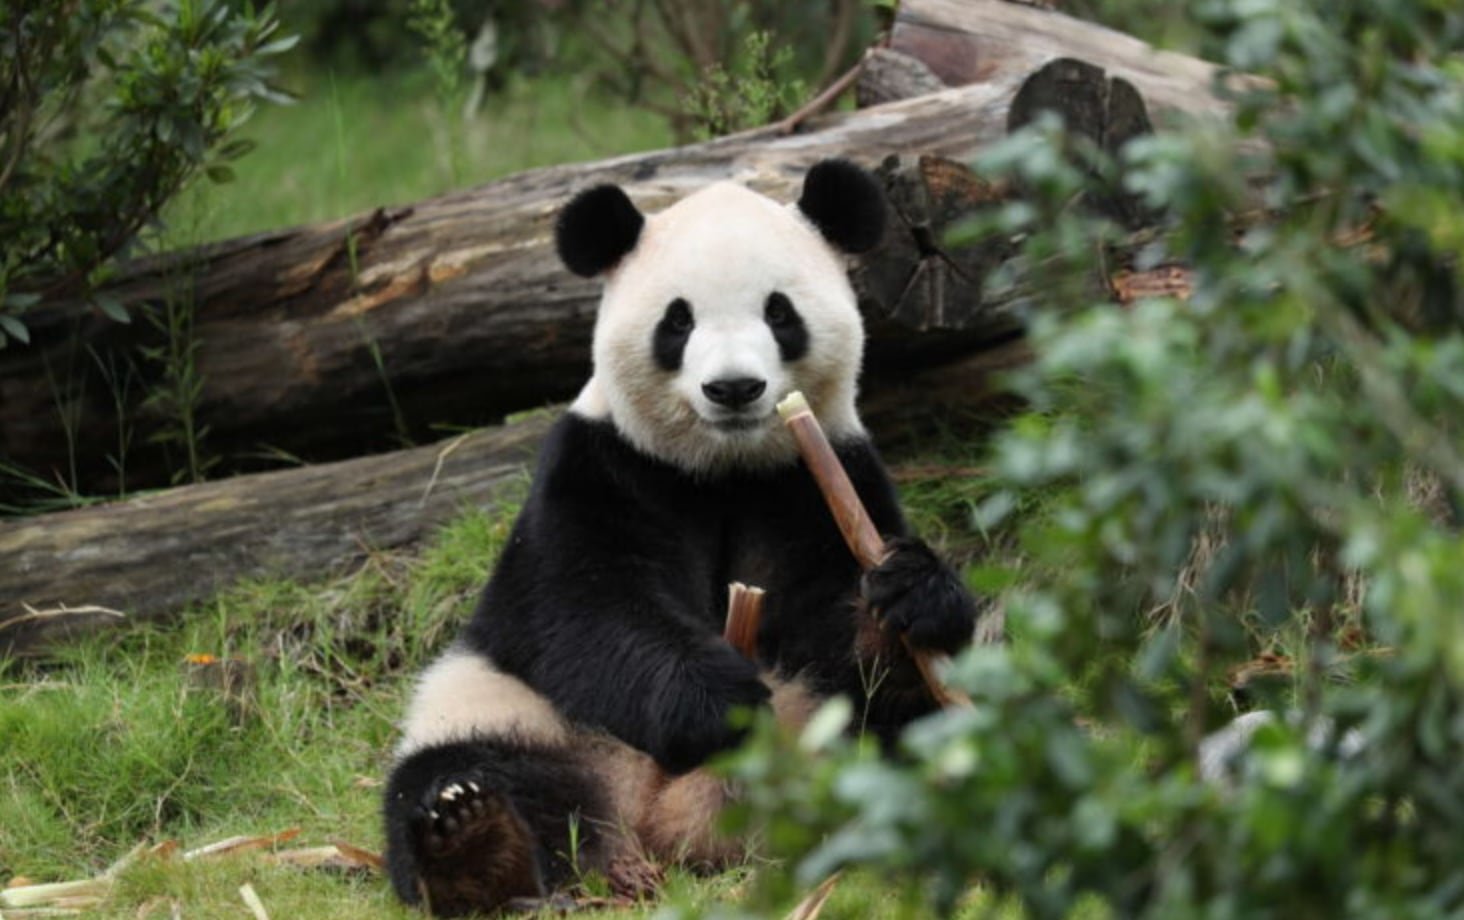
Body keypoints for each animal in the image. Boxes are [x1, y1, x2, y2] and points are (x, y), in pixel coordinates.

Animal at [383, 159, 980, 916]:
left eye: (779, 313)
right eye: (678, 320)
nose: (734, 388)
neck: (722, 468)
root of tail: (660, 824)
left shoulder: (818, 476)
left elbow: (836, 625)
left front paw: (908, 596)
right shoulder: (599, 466)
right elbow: (582, 607)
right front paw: (716, 703)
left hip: (822, 731)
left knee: (906, 734)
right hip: (510, 709)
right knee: (464, 771)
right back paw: (477, 844)